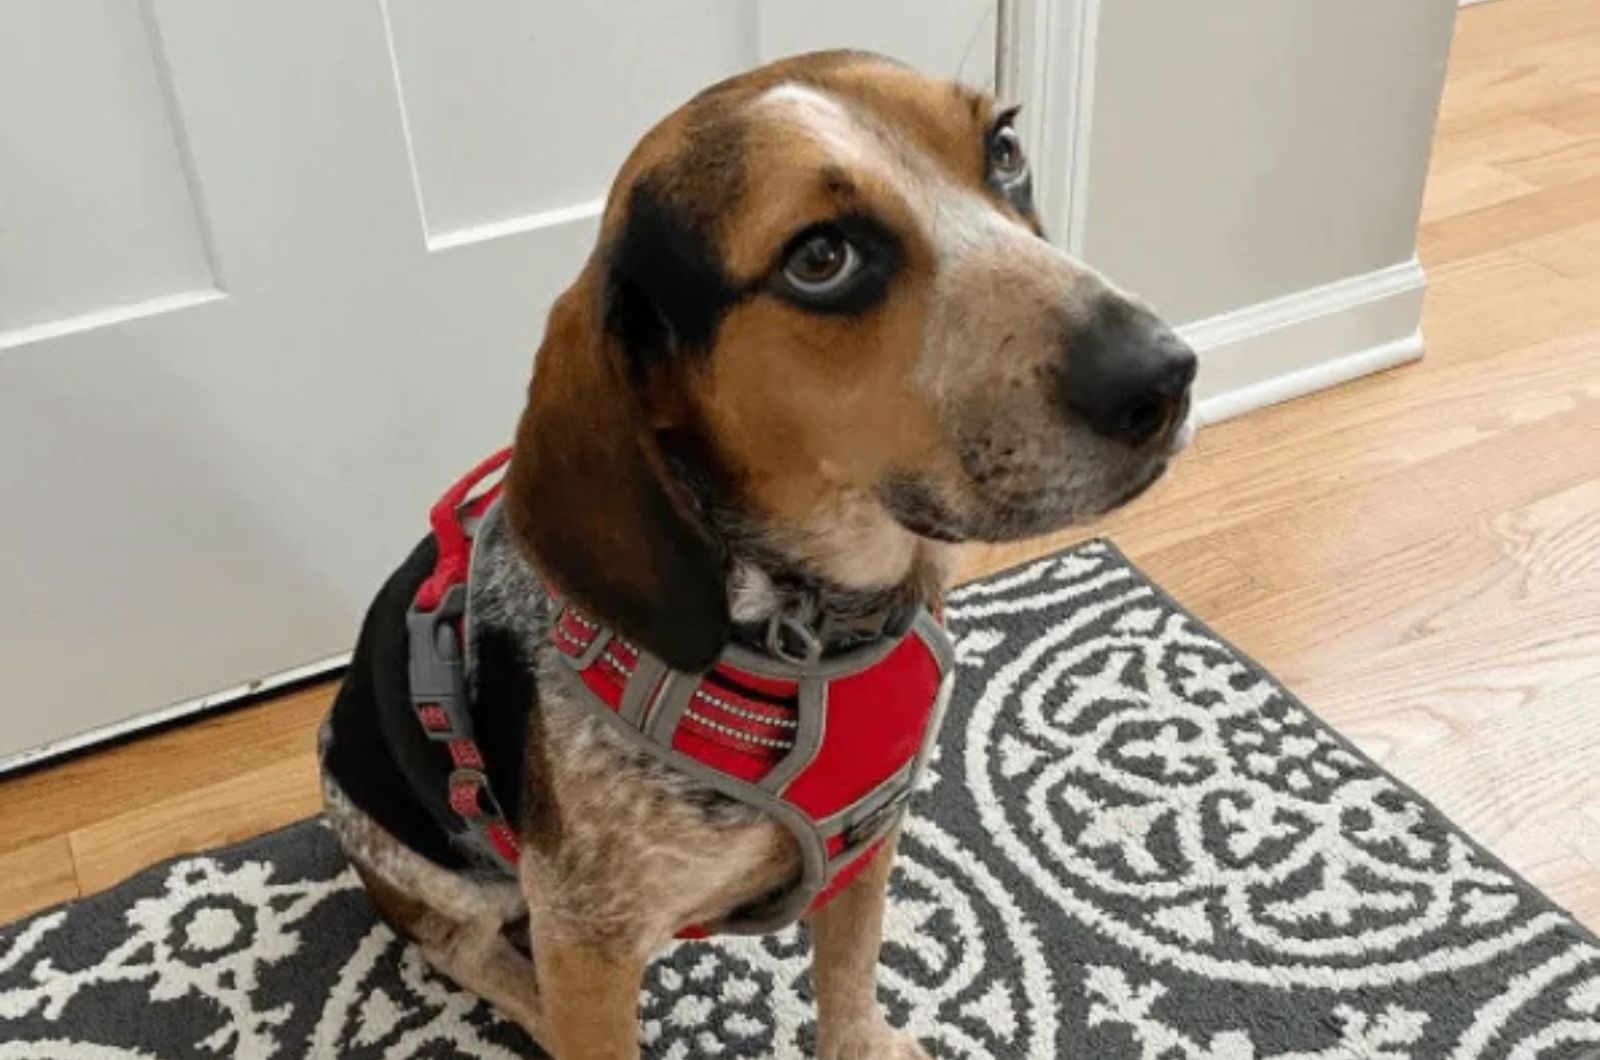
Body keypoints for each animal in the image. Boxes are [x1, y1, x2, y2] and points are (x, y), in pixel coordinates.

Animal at [324, 52, 1196, 1060]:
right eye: (820, 259)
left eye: (1005, 146)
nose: (1165, 375)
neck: (813, 622)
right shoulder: (587, 938)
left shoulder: (869, 836)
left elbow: (849, 983)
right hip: (426, 864)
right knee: (455, 944)